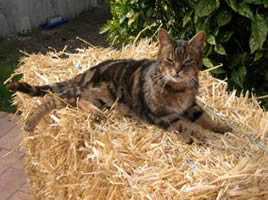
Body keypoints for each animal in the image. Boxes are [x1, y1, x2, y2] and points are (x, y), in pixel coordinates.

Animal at [7, 28, 231, 143]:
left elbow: (205, 118)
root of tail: (88, 70)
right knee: (52, 99)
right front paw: (198, 135)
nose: (177, 71)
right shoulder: (160, 115)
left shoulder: (191, 106)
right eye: (169, 60)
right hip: (82, 91)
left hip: (103, 98)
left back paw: (96, 113)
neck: (179, 88)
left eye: (187, 62)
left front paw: (221, 126)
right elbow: (184, 125)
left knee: (79, 101)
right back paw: (30, 122)